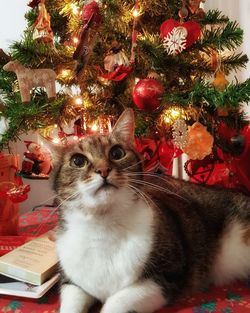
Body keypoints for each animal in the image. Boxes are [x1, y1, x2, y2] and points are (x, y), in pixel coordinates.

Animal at [49, 109, 250, 312]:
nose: (103, 169)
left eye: (117, 152)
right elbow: (71, 303)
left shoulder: (166, 276)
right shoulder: (72, 281)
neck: (103, 226)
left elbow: (116, 302)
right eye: (77, 161)